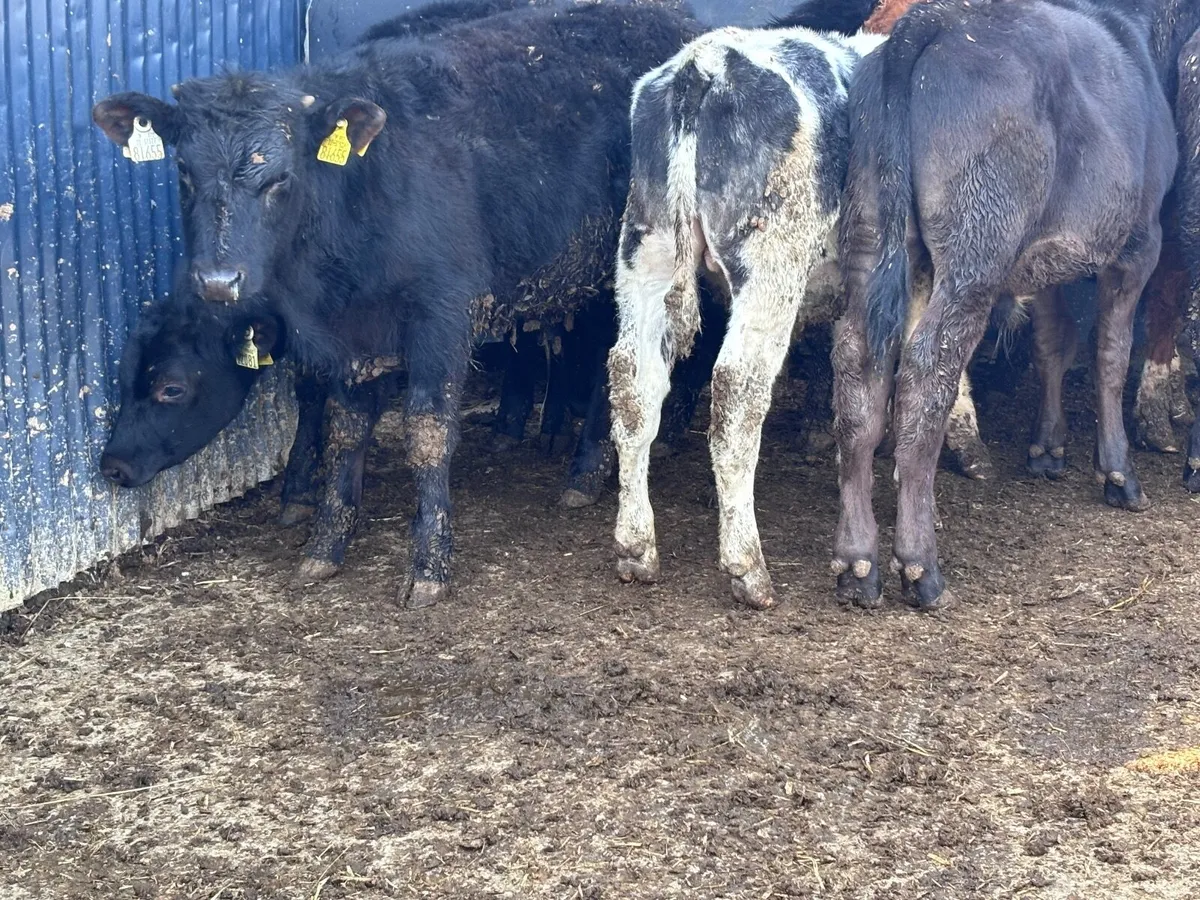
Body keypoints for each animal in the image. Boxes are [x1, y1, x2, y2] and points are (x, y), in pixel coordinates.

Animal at [93, 1, 699, 608]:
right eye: (184, 173)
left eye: (280, 179)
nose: (112, 466)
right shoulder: (345, 337)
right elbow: (344, 430)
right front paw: (325, 544)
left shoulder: (442, 317)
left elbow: (427, 432)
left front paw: (429, 564)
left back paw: (584, 472)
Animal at [830, 0, 1200, 612]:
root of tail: (932, 22)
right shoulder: (1137, 242)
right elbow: (1108, 352)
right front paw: (1118, 473)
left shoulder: (1046, 260)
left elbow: (1053, 342)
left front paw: (1047, 448)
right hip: (975, 252)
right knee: (926, 372)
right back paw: (920, 566)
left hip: (871, 231)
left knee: (859, 370)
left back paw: (858, 564)